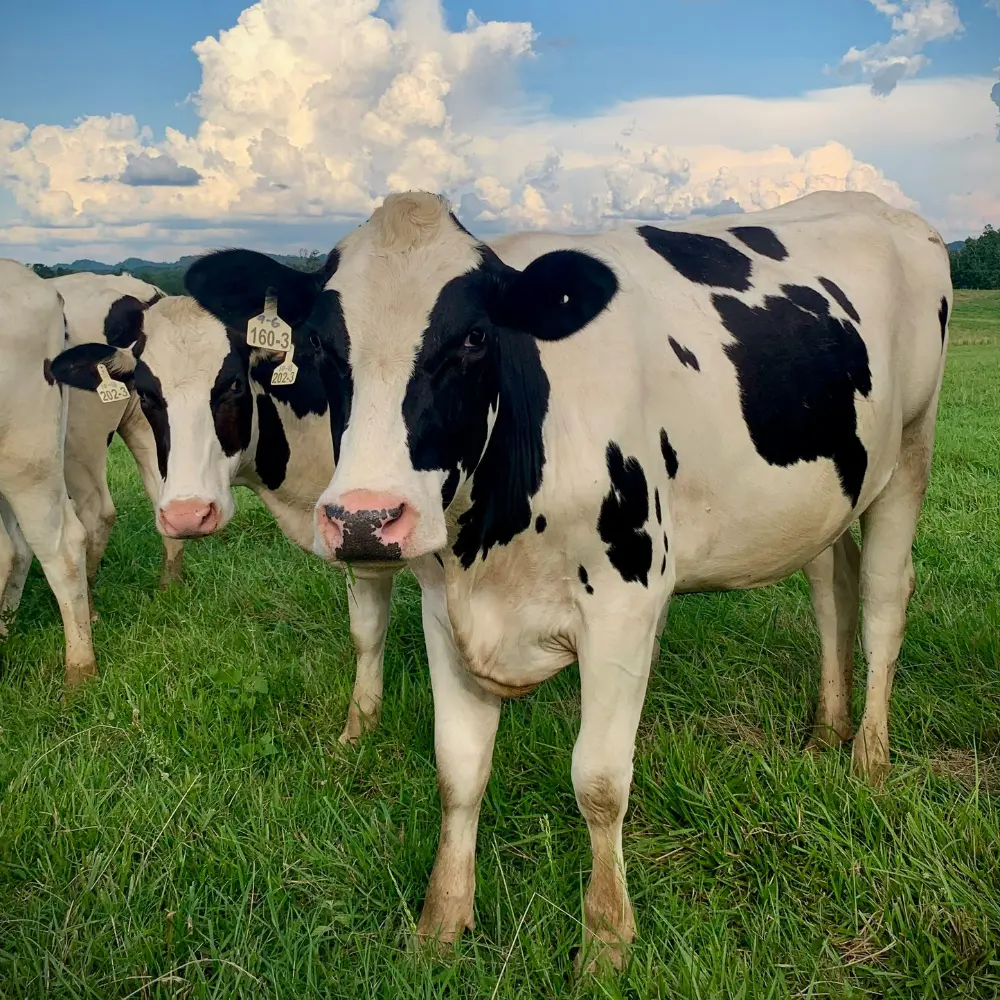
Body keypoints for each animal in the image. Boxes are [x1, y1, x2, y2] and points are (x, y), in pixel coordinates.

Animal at [182, 189, 952, 965]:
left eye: (474, 339)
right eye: (317, 345)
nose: (366, 520)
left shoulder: (626, 603)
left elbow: (600, 780)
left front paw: (607, 940)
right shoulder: (443, 605)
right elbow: (458, 767)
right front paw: (442, 922)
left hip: (910, 451)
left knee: (884, 603)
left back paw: (868, 758)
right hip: (828, 495)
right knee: (833, 588)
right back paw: (826, 727)